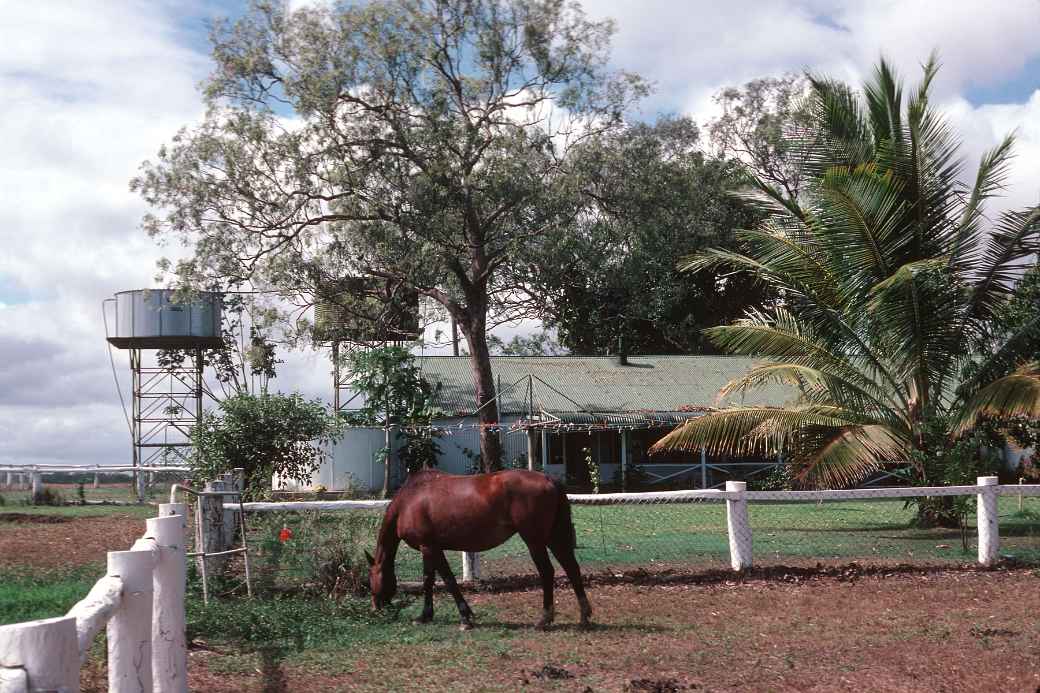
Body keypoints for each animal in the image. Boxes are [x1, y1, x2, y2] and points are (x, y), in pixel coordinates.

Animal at [368, 466, 594, 628]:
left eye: (371, 579)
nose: (376, 608)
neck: (409, 500)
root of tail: (549, 479)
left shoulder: (429, 547)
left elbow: (444, 580)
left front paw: (464, 618)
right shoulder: (431, 549)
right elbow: (431, 580)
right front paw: (426, 615)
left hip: (535, 541)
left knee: (547, 571)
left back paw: (544, 619)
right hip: (554, 538)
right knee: (572, 568)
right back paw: (584, 616)